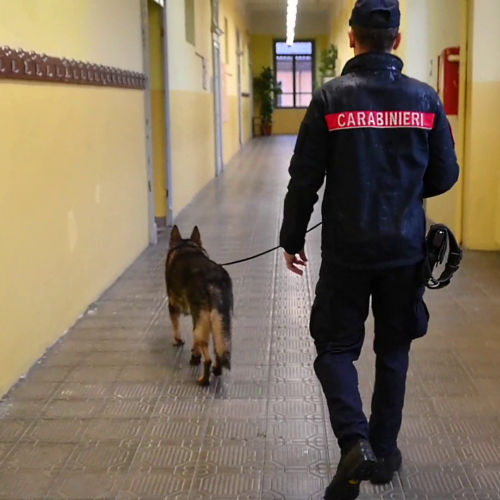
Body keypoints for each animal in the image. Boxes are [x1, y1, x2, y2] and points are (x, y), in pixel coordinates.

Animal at [166, 227, 232, 386]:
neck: (186, 247)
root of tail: (213, 279)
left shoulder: (173, 307)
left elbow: (176, 328)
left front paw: (178, 341)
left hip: (202, 321)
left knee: (207, 356)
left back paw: (203, 378)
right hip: (218, 320)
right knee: (218, 349)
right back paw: (216, 369)